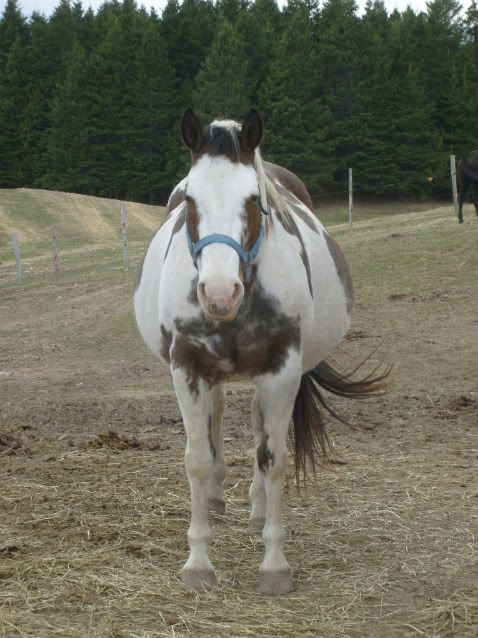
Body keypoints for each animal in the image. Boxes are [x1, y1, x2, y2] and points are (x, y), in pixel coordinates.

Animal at [134, 109, 388, 596]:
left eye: (253, 199)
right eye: (190, 200)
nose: (218, 293)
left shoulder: (281, 370)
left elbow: (273, 460)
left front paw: (274, 565)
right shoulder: (187, 368)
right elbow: (197, 459)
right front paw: (198, 563)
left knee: (257, 428)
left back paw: (254, 508)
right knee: (216, 417)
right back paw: (217, 497)